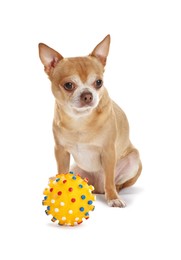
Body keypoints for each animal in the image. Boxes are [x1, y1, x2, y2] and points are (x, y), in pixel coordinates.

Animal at [39, 35, 142, 208]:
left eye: (98, 82)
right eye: (68, 85)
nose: (87, 95)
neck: (80, 120)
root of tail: (97, 187)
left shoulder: (109, 151)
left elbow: (109, 178)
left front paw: (113, 198)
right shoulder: (61, 151)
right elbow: (61, 172)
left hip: (133, 159)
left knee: (113, 182)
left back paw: (114, 191)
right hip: (76, 169)